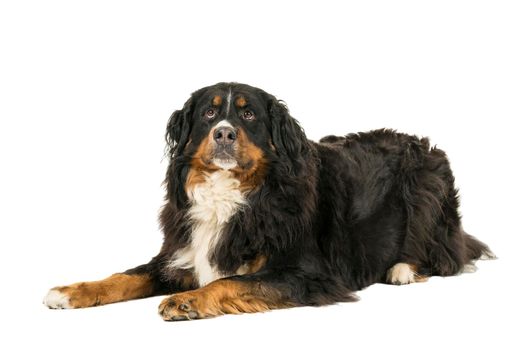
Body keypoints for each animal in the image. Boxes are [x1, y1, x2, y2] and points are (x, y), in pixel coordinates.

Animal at [43, 82, 494, 320]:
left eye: (249, 115)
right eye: (208, 114)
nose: (224, 133)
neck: (232, 193)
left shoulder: (308, 274)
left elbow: (230, 281)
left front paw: (186, 301)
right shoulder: (179, 254)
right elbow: (123, 277)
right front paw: (69, 291)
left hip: (425, 191)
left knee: (446, 254)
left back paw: (403, 269)